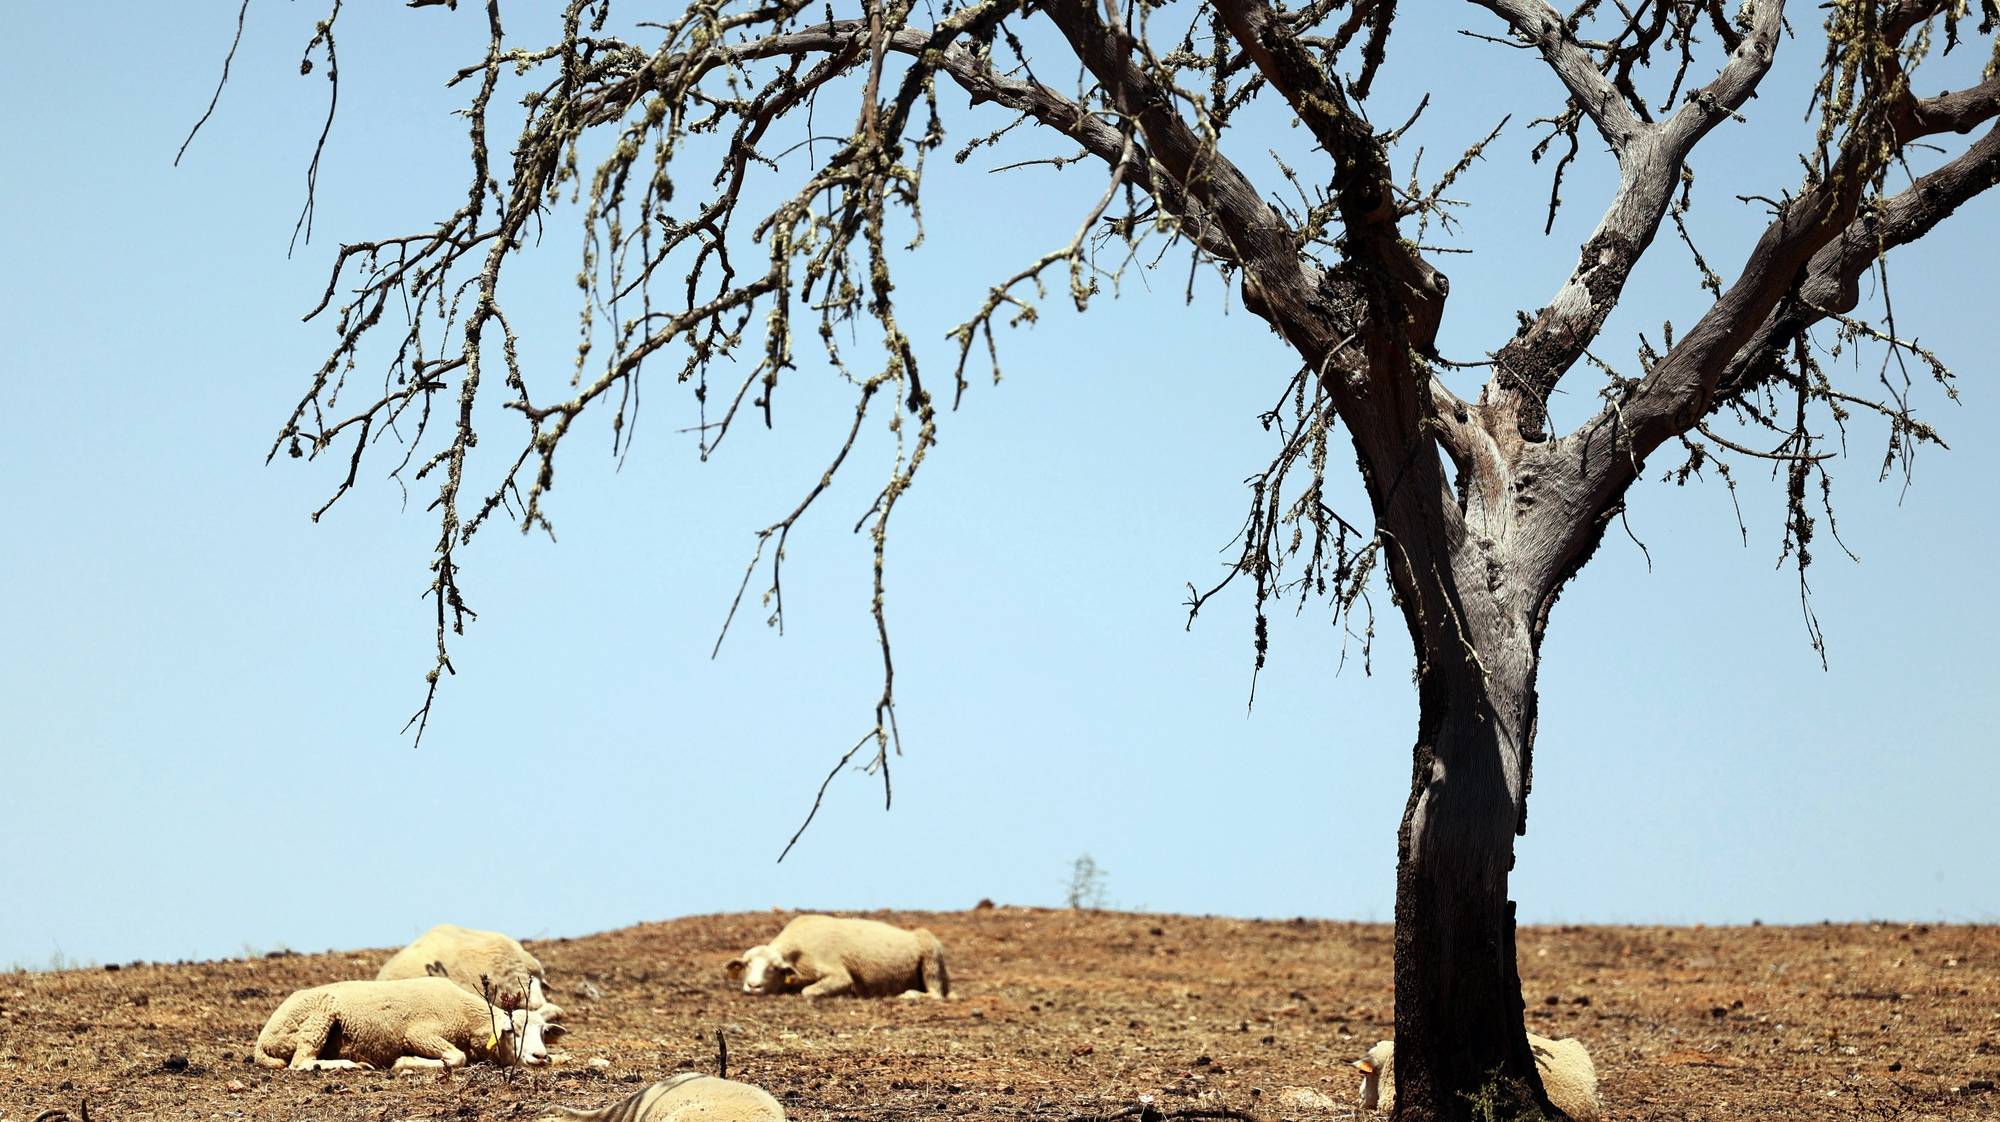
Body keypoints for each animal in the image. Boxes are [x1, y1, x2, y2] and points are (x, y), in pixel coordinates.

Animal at [254, 976, 564, 1072]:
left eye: (543, 1033)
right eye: (511, 1032)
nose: (540, 1056)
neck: (467, 1017)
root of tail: (262, 1040)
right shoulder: (419, 1034)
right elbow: (457, 1057)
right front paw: (403, 1063)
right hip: (319, 1016)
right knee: (300, 1062)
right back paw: (347, 1065)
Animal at [724, 912, 948, 996]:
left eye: (773, 968)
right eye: (747, 964)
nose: (753, 986)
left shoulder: (839, 974)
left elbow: (808, 992)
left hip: (931, 961)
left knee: (935, 994)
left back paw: (910, 995)